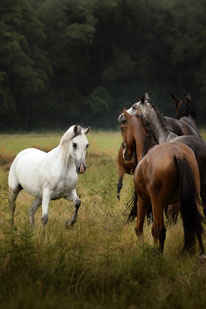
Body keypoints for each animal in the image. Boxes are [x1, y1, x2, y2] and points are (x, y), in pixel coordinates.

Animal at [122, 109, 204, 254]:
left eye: (125, 127)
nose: (125, 152)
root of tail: (178, 155)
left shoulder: (143, 200)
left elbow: (140, 228)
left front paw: (144, 249)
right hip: (193, 197)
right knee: (197, 223)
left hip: (156, 202)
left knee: (161, 229)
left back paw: (159, 256)